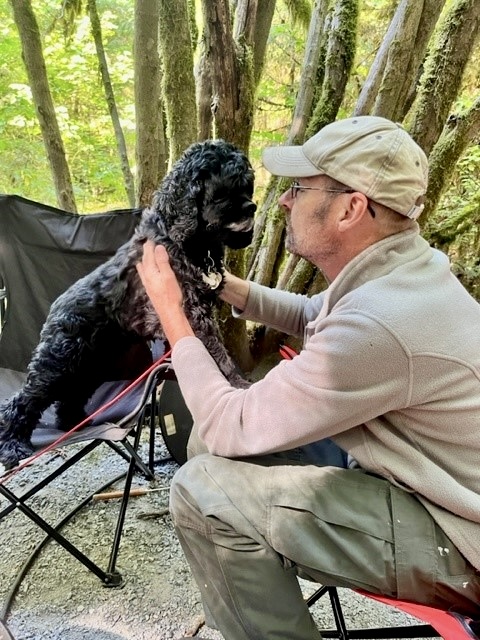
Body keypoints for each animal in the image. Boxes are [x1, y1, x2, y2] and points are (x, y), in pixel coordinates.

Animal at [0, 139, 256, 468]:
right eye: (224, 190)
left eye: (248, 186)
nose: (252, 207)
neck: (186, 243)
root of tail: (55, 309)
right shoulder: (194, 317)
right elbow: (219, 358)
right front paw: (238, 385)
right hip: (58, 363)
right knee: (23, 400)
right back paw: (13, 445)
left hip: (93, 365)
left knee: (69, 399)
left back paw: (76, 421)